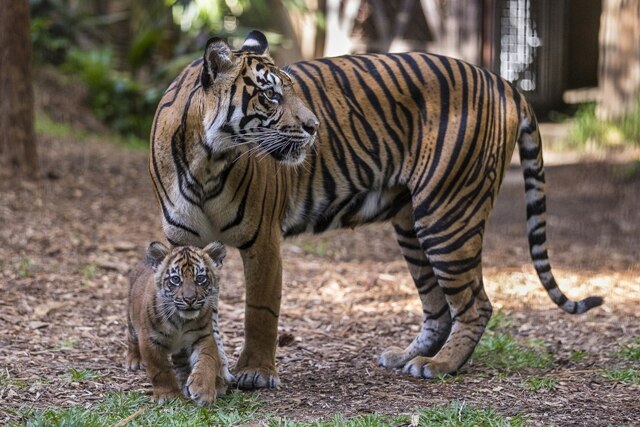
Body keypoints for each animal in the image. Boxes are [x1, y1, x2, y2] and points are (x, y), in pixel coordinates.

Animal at [149, 31, 600, 390]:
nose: (315, 127)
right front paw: (202, 368)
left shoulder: (263, 240)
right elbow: (197, 309)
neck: (207, 161)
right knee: (438, 307)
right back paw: (405, 358)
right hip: (412, 225)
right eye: (271, 94)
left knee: (476, 304)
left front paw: (254, 373)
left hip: (447, 214)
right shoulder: (184, 243)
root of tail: (503, 81)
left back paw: (439, 365)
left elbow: (260, 311)